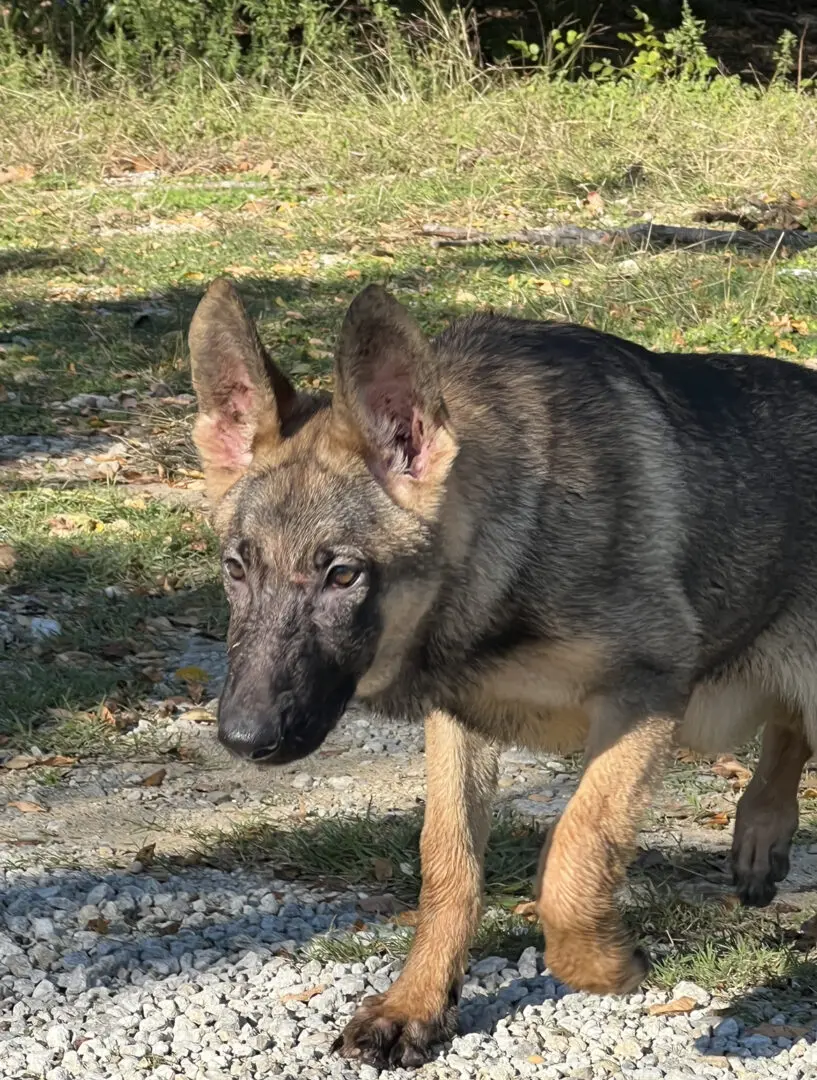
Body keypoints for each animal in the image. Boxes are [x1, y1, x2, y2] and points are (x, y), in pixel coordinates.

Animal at [186, 276, 817, 1062]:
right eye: (236, 569)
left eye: (342, 575)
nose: (244, 738)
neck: (509, 546)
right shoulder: (459, 721)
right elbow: (447, 863)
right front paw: (418, 1003)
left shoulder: (644, 693)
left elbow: (577, 848)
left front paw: (603, 964)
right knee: (788, 730)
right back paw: (761, 831)